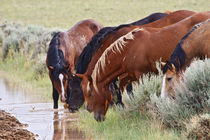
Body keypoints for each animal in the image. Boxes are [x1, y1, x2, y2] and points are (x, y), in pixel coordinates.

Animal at [76, 11, 210, 121]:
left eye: (90, 93)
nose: (90, 110)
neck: (128, 49)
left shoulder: (141, 75)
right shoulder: (130, 75)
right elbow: (123, 88)